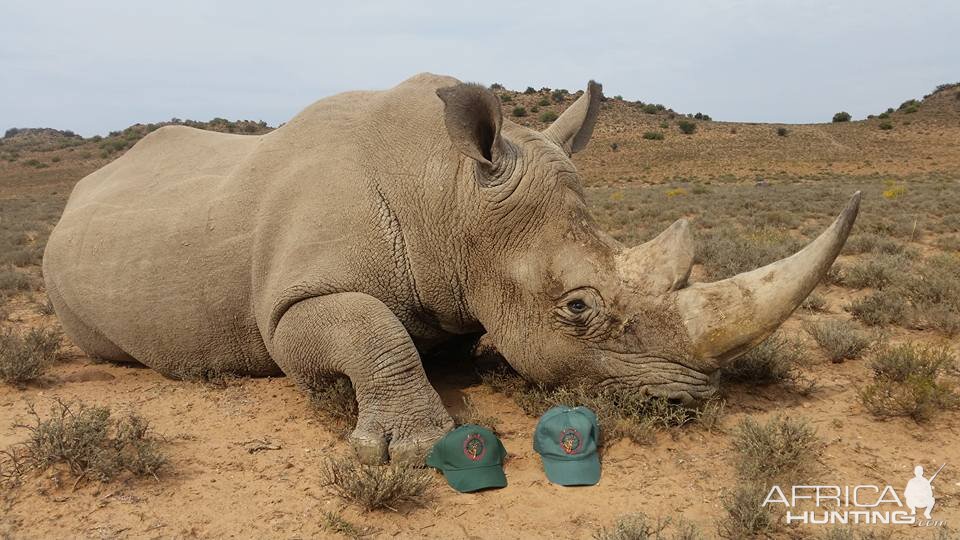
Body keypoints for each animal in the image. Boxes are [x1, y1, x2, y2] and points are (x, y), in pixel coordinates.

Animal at [43, 73, 864, 464]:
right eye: (578, 307)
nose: (693, 400)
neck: (449, 194)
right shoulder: (287, 307)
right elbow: (369, 328)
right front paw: (411, 448)